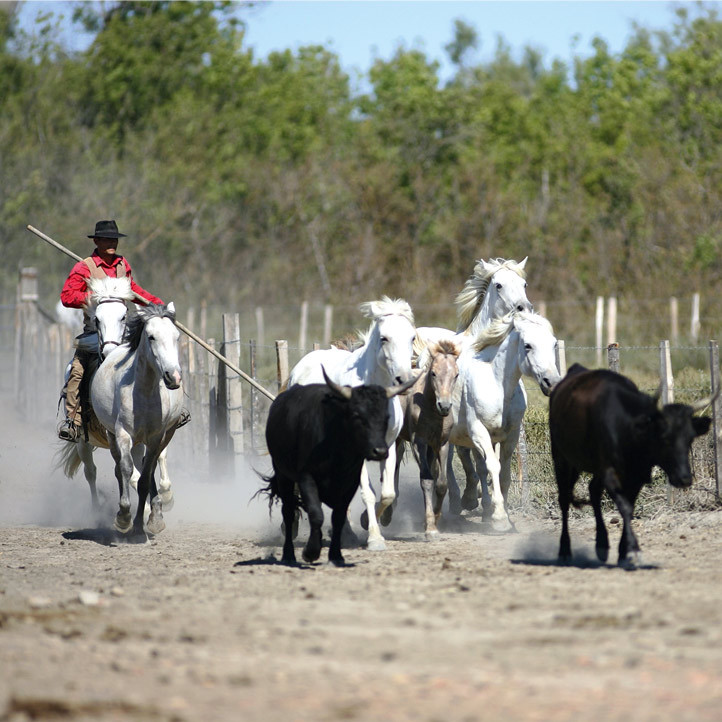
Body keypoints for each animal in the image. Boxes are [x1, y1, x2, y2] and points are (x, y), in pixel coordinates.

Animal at [89, 300, 183, 536]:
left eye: (177, 336)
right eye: (151, 337)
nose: (173, 377)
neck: (145, 392)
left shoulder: (156, 437)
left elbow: (145, 477)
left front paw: (143, 524)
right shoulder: (122, 434)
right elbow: (126, 469)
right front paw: (124, 517)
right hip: (112, 435)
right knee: (118, 468)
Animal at [284, 296, 414, 548]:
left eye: (412, 337)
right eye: (384, 338)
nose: (404, 379)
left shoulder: (388, 445)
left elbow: (387, 493)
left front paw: (366, 522)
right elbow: (368, 493)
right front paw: (374, 538)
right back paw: (290, 527)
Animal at [448, 310, 560, 528]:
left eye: (554, 344)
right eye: (528, 345)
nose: (552, 382)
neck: (497, 386)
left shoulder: (511, 435)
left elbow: (504, 473)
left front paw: (502, 513)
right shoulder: (479, 432)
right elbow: (493, 466)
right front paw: (500, 518)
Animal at [548, 362, 712, 564]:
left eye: (690, 439)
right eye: (664, 437)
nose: (684, 478)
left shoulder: (637, 475)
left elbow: (629, 507)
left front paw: (623, 551)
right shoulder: (610, 472)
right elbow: (625, 507)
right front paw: (633, 550)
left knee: (593, 491)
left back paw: (602, 544)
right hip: (562, 459)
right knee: (564, 499)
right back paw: (564, 550)